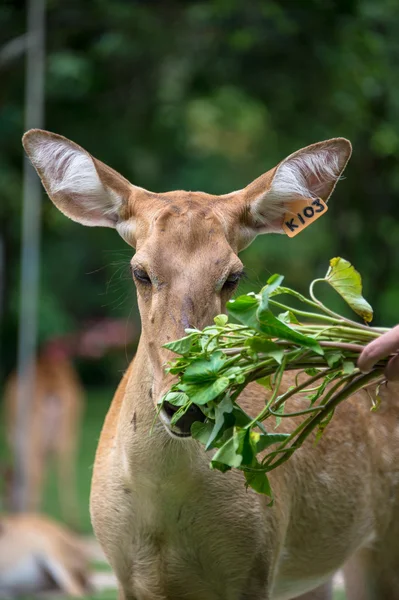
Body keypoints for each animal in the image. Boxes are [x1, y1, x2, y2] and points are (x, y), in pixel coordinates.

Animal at [2, 318, 136, 524]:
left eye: (6, 492)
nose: (11, 509)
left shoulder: (15, 435)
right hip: (69, 428)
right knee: (65, 468)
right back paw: (70, 519)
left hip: (34, 432)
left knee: (37, 471)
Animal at [22, 130, 399, 600]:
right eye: (140, 272)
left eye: (233, 276)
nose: (187, 406)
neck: (162, 514)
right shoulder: (124, 573)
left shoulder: (255, 565)